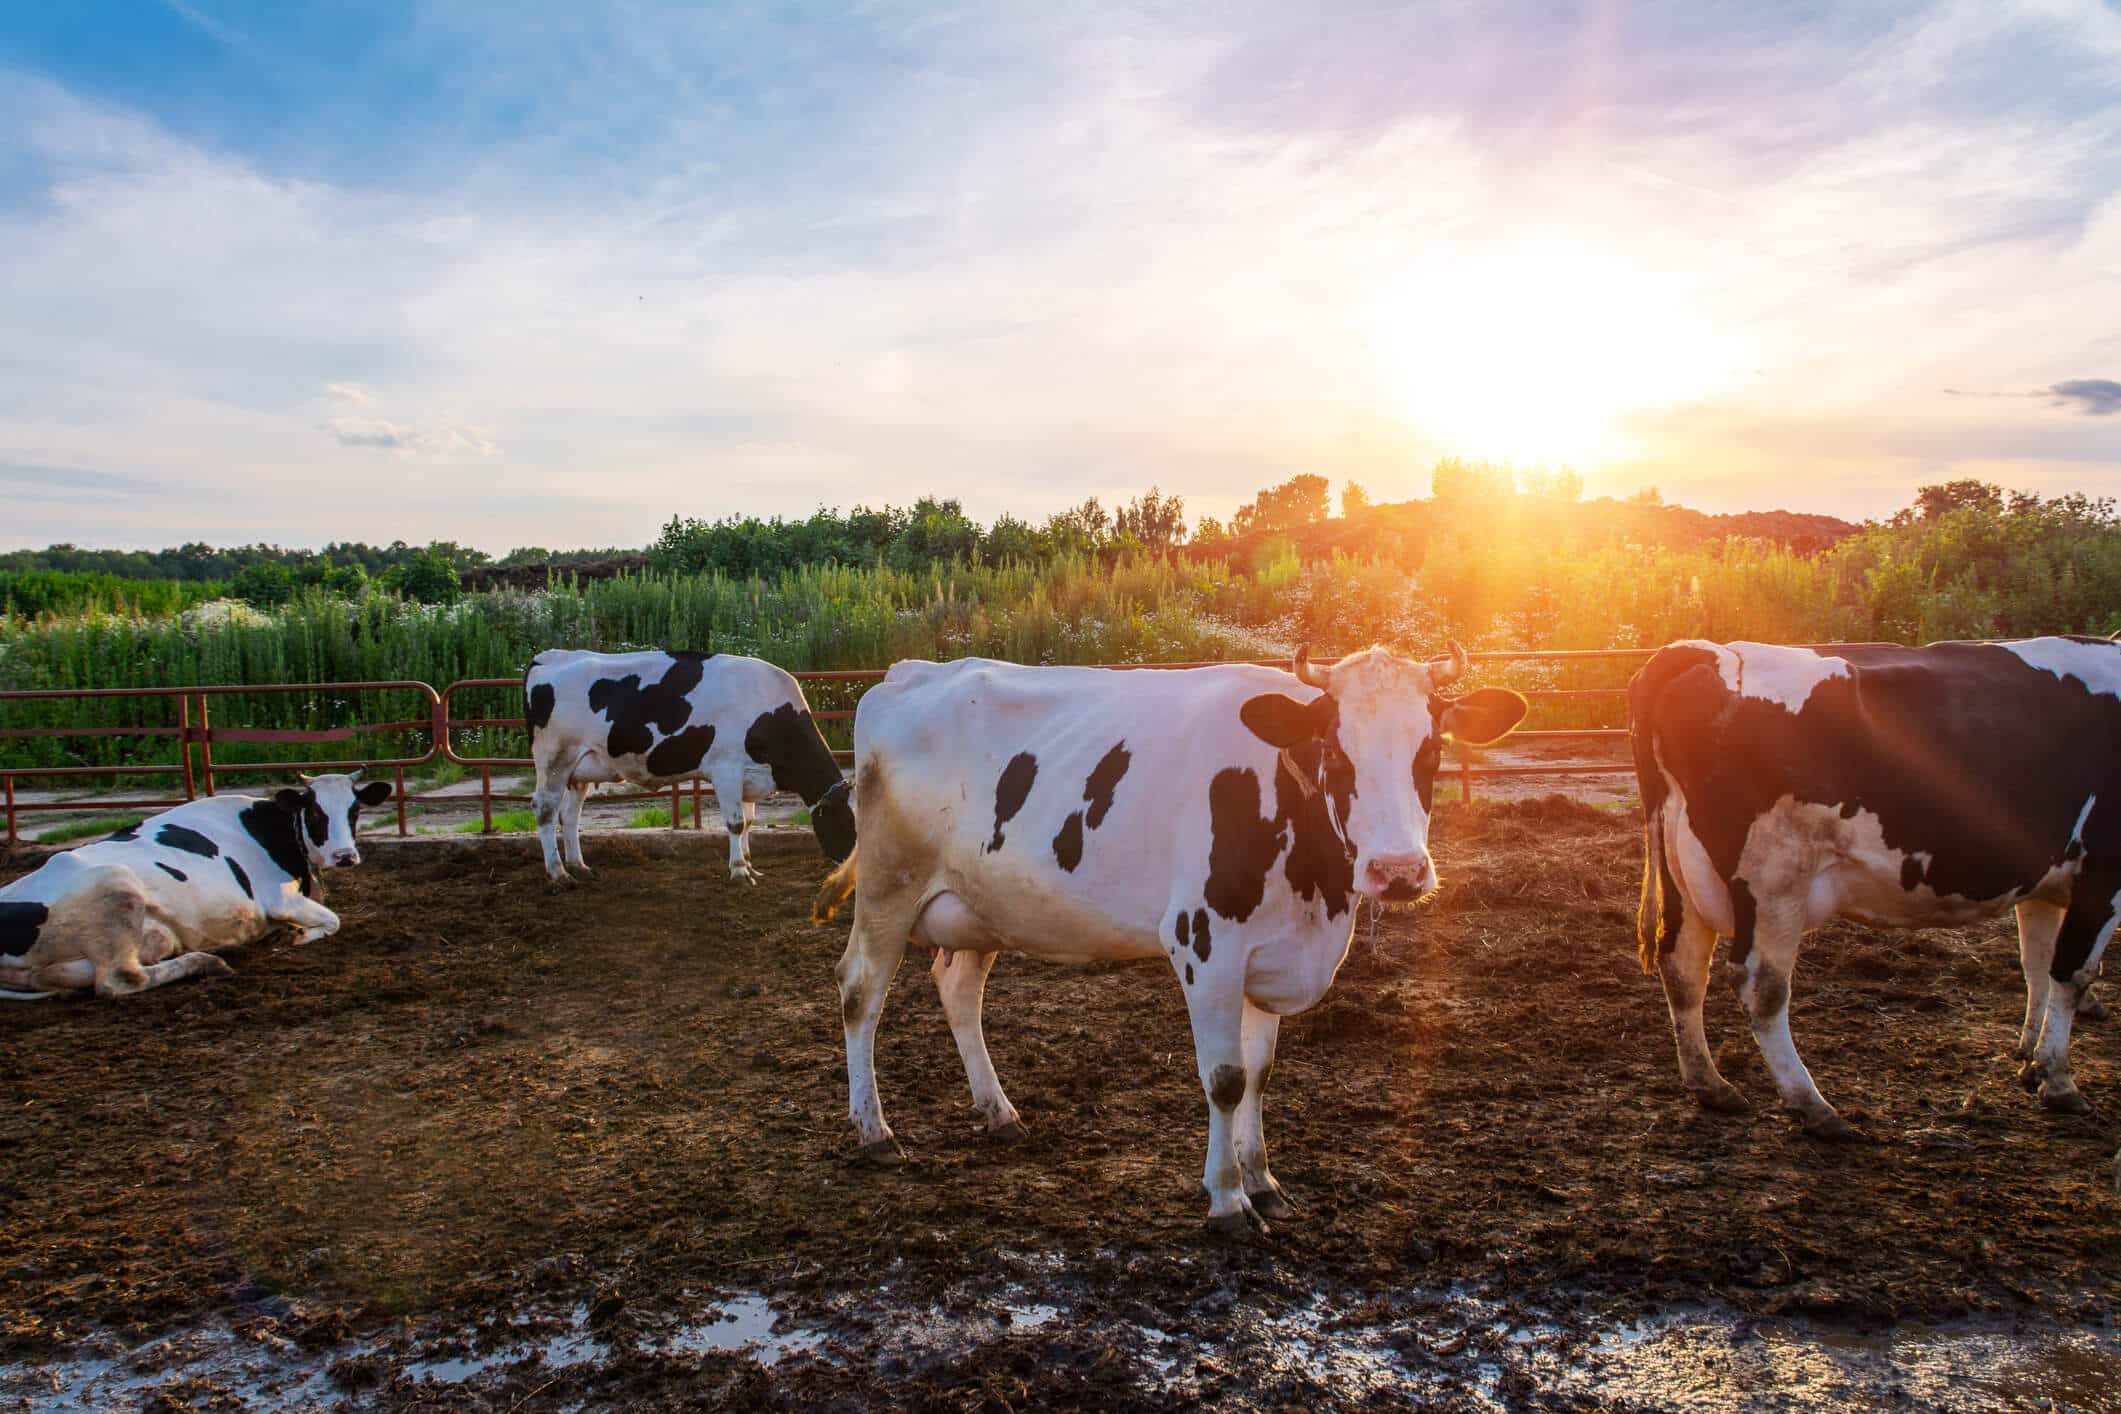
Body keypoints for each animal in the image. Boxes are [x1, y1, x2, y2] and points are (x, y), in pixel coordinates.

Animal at [1, 775, 394, 996]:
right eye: (314, 812)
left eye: (355, 810)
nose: (345, 856)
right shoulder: (277, 899)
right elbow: (333, 920)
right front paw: (297, 936)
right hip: (116, 888)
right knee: (119, 980)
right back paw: (207, 961)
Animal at [521, 652, 852, 886]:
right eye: (851, 823)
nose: (852, 868)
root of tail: (550, 656)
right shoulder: (726, 769)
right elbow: (735, 823)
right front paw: (739, 872)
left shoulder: (749, 775)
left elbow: (748, 821)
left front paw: (749, 863)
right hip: (555, 759)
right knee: (545, 810)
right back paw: (559, 873)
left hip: (579, 769)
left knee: (570, 815)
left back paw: (579, 866)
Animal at [810, 648, 1527, 1229]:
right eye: (1335, 751)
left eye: (1431, 750)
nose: (1398, 871)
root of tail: (907, 674)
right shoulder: (1205, 947)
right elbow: (1225, 1078)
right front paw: (1228, 1201)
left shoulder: (1269, 953)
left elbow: (1261, 1073)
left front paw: (1264, 1182)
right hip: (889, 887)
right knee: (860, 991)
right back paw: (874, 1130)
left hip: (981, 906)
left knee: (957, 990)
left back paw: (999, 1112)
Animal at [1637, 635, 2121, 1136]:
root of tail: (1711, 651)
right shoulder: (2104, 875)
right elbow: (2072, 972)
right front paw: (2058, 1080)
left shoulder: (2045, 883)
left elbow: (2037, 965)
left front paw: (2030, 1061)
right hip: (1775, 877)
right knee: (1761, 986)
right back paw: (1813, 1105)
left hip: (1685, 873)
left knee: (1683, 967)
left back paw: (1711, 1084)